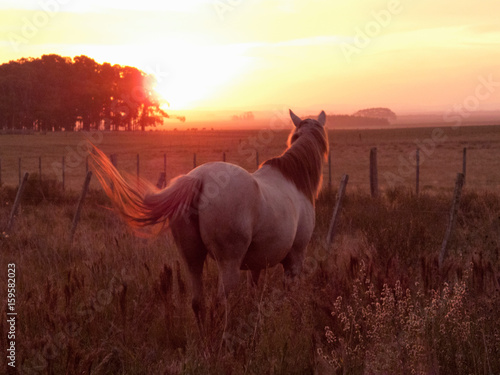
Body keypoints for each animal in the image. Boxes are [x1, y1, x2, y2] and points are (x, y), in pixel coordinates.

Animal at [91, 108, 328, 324]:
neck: (294, 181)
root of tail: (199, 179)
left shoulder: (257, 264)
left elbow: (254, 292)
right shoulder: (295, 258)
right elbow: (289, 294)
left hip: (192, 258)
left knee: (198, 303)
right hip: (228, 264)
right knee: (218, 303)